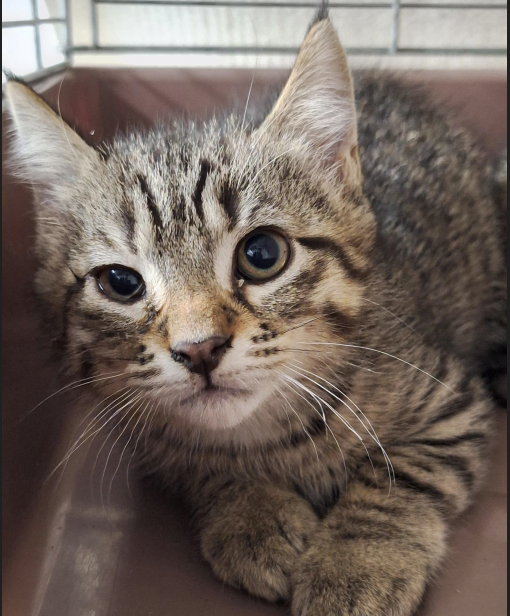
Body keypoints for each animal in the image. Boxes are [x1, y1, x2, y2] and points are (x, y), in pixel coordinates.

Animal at [5, 11, 507, 616]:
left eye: (262, 254)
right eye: (121, 283)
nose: (199, 349)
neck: (264, 434)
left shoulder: (452, 402)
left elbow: (398, 476)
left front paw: (356, 560)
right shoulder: (153, 441)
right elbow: (199, 466)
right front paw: (251, 515)